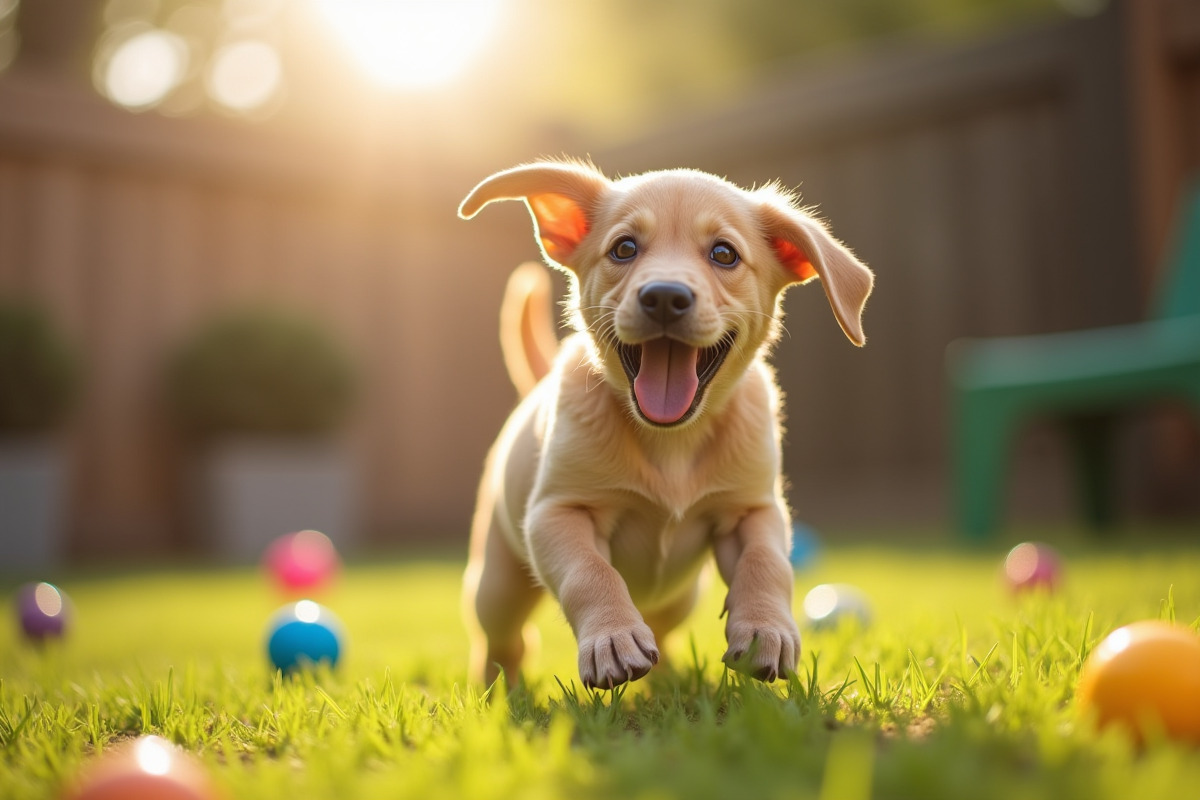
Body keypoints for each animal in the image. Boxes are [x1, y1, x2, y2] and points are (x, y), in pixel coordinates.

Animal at [458, 160, 873, 690]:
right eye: (624, 248)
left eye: (724, 254)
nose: (664, 297)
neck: (671, 440)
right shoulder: (557, 512)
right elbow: (590, 571)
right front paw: (612, 638)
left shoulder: (753, 509)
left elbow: (766, 563)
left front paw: (766, 630)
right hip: (498, 584)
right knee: (504, 640)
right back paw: (497, 687)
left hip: (681, 598)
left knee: (663, 629)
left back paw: (670, 676)